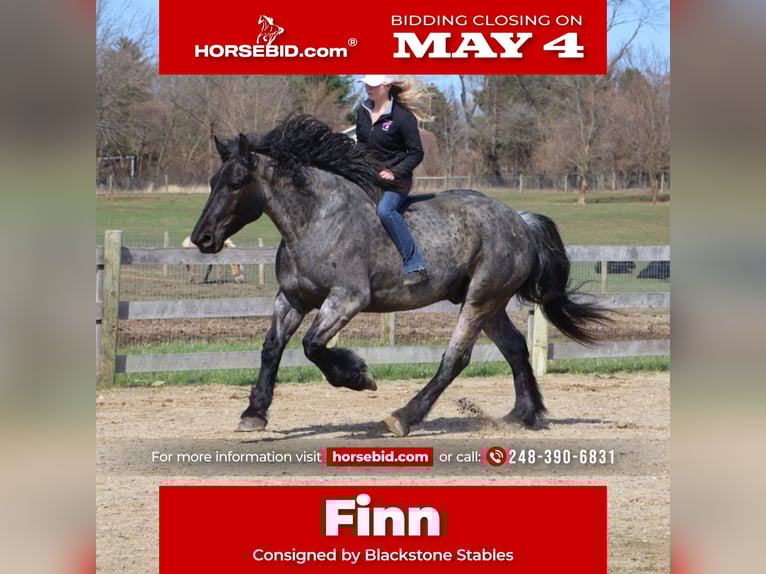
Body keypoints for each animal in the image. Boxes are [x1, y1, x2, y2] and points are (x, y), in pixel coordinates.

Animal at [190, 115, 609, 437]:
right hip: (491, 304)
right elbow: (271, 348)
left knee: (455, 359)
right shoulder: (292, 298)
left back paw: (402, 418)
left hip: (479, 300)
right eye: (212, 182)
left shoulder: (347, 299)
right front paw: (254, 414)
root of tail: (520, 221)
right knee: (516, 350)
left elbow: (312, 345)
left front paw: (359, 375)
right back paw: (523, 415)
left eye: (237, 183)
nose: (202, 238)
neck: (315, 221)